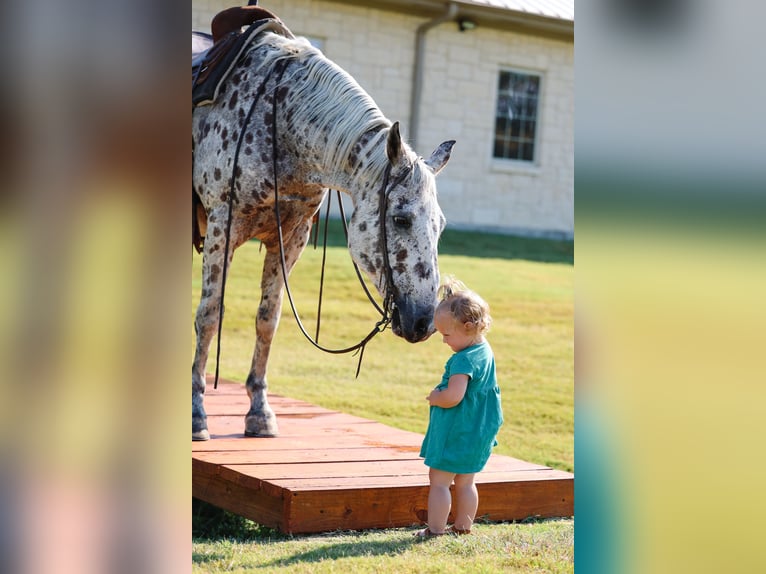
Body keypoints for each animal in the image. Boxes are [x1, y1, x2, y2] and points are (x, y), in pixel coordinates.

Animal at [192, 19, 455, 441]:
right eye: (400, 218)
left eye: (440, 226)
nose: (423, 321)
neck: (279, 118)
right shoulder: (222, 226)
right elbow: (210, 314)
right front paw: (197, 412)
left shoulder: (291, 236)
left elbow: (268, 320)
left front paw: (259, 412)